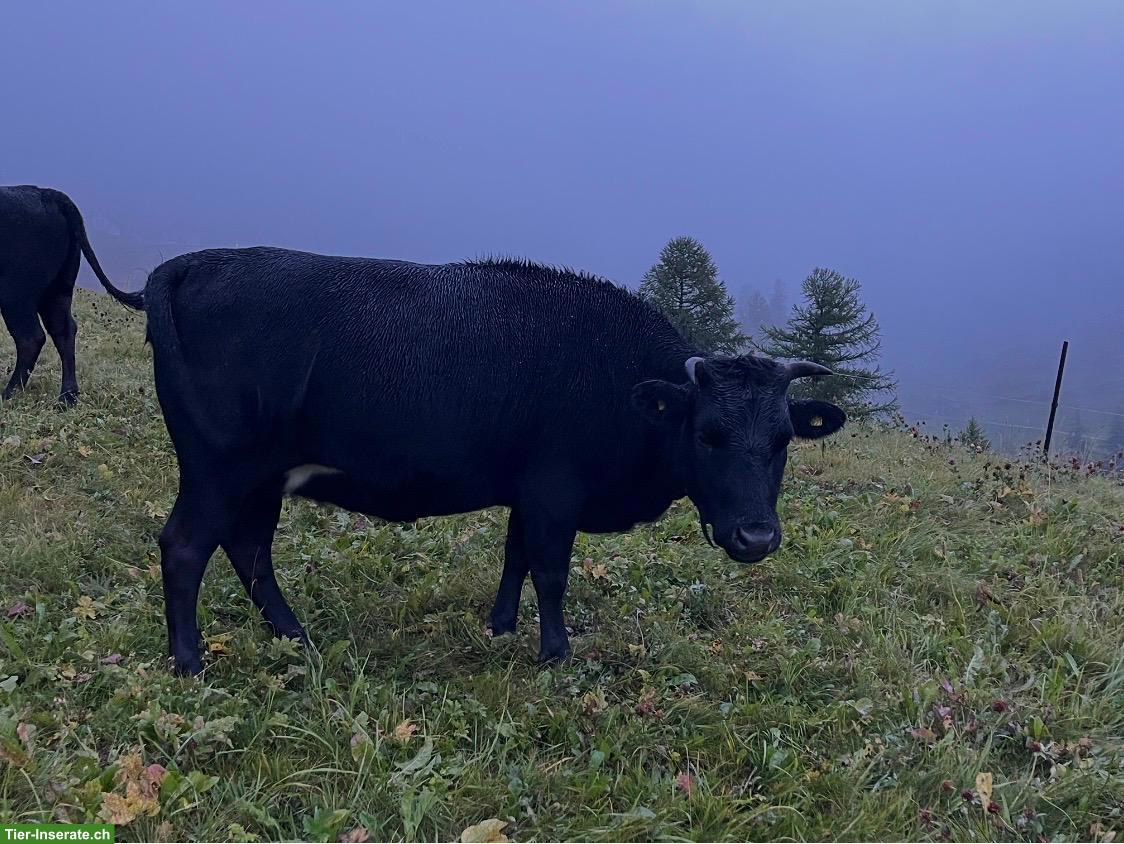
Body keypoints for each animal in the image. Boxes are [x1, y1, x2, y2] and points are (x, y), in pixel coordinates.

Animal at [0, 186, 142, 404]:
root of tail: (45, 193)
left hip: (16, 294)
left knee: (30, 338)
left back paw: (10, 392)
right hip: (58, 289)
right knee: (64, 331)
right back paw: (67, 396)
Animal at [111, 247, 845, 675]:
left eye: (782, 440)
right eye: (710, 435)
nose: (756, 536)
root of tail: (196, 261)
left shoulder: (528, 491)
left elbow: (515, 558)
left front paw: (501, 627)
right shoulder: (555, 491)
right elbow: (550, 571)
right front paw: (556, 654)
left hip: (259, 480)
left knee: (250, 551)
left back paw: (296, 638)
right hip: (219, 468)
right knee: (186, 547)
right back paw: (189, 661)